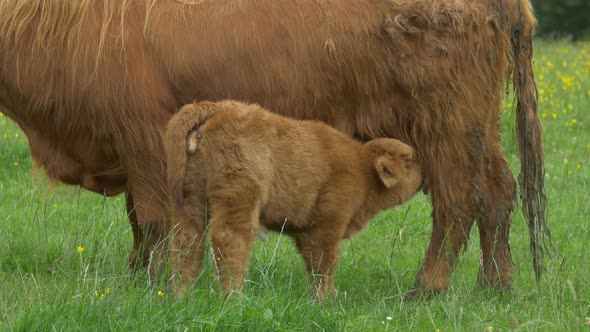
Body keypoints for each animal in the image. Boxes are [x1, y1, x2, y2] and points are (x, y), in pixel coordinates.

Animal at [164, 100, 424, 296]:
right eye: (408, 159)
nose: (425, 173)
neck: (362, 167)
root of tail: (216, 107)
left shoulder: (306, 233)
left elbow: (315, 266)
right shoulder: (327, 226)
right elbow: (324, 265)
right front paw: (326, 302)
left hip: (192, 200)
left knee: (187, 243)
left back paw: (182, 298)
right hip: (238, 199)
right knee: (229, 242)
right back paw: (233, 298)